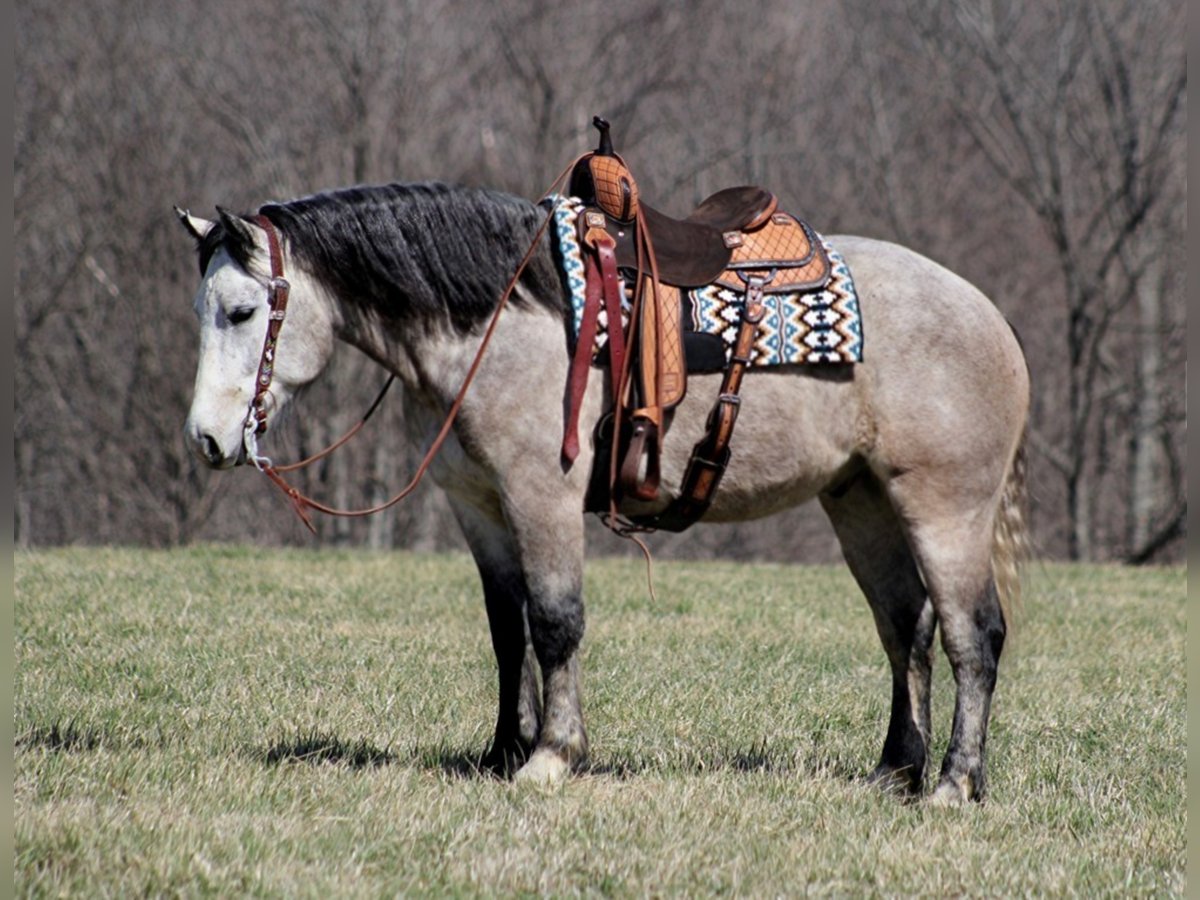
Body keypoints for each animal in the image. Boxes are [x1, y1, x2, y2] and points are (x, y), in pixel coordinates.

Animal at [177, 180, 1032, 806]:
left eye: (243, 311)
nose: (208, 439)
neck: (503, 318)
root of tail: (990, 317)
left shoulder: (542, 497)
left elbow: (556, 621)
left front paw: (553, 756)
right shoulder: (480, 507)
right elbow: (508, 629)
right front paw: (502, 750)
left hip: (945, 509)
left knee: (972, 635)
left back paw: (955, 785)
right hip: (861, 503)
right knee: (905, 630)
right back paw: (896, 771)